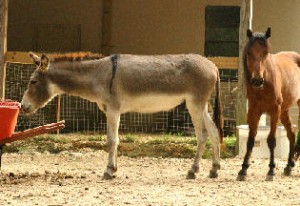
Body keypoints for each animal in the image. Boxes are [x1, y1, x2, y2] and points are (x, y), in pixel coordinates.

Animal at [237, 27, 300, 180]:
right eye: (249, 52)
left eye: (265, 52)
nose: (257, 80)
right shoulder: (253, 111)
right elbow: (250, 140)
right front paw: (243, 169)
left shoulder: (274, 111)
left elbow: (271, 140)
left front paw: (271, 170)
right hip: (284, 111)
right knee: (291, 133)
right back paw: (289, 166)